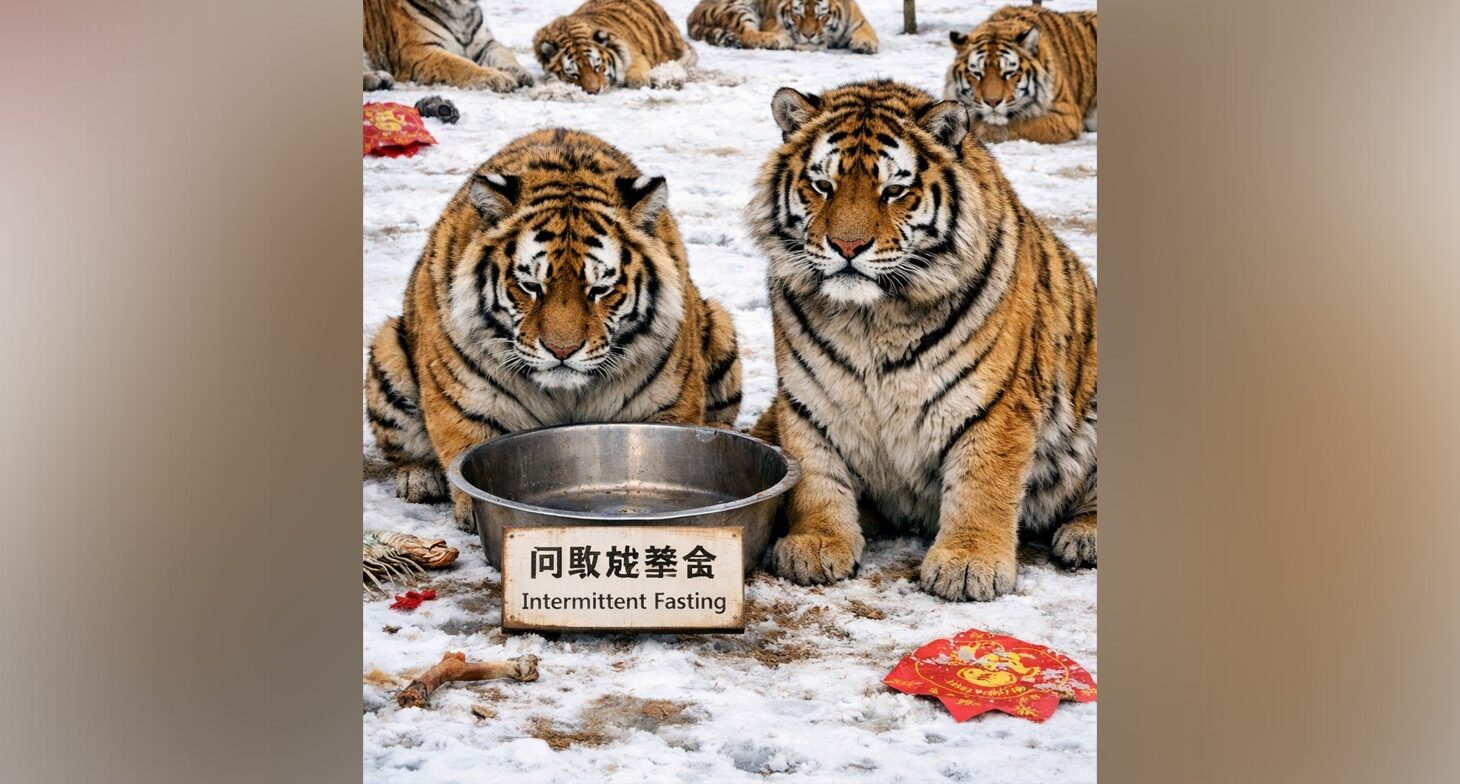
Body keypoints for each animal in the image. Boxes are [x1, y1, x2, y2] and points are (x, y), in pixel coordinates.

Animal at [363, 0, 533, 92]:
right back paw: (377, 79)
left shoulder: (484, 43)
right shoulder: (419, 51)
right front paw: (498, 77)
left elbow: (504, 53)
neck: (460, 9)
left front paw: (521, 73)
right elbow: (459, 64)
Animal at [366, 129, 743, 530]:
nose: (562, 350)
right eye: (531, 286)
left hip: (720, 326)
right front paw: (469, 509)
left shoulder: (667, 406)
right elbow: (464, 444)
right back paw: (419, 478)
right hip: (387, 350)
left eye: (600, 289)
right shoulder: (466, 402)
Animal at [687, 0, 878, 55]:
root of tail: (691, 16)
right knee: (748, 35)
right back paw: (778, 41)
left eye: (821, 17)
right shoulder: (771, 21)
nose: (808, 35)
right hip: (738, 8)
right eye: (797, 16)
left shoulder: (859, 21)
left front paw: (865, 44)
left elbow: (866, 32)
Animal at [747, 80, 1097, 601]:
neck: (871, 318)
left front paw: (969, 564)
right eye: (823, 185)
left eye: (894, 191)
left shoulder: (995, 404)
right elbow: (814, 472)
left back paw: (1085, 536)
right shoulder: (807, 395)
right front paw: (816, 543)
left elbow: (981, 485)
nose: (847, 247)